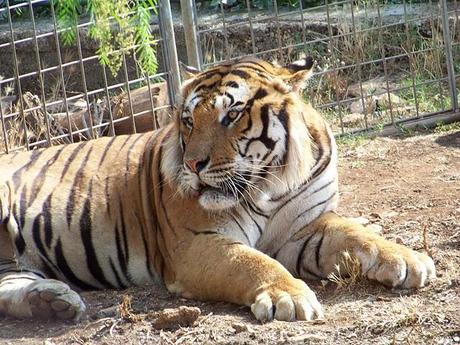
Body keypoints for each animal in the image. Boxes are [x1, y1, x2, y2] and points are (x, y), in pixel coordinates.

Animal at [0, 55, 434, 322]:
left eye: (232, 115)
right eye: (189, 120)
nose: (193, 164)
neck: (269, 183)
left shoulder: (304, 229)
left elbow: (357, 233)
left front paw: (409, 259)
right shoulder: (194, 244)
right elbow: (251, 262)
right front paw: (288, 296)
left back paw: (52, 302)